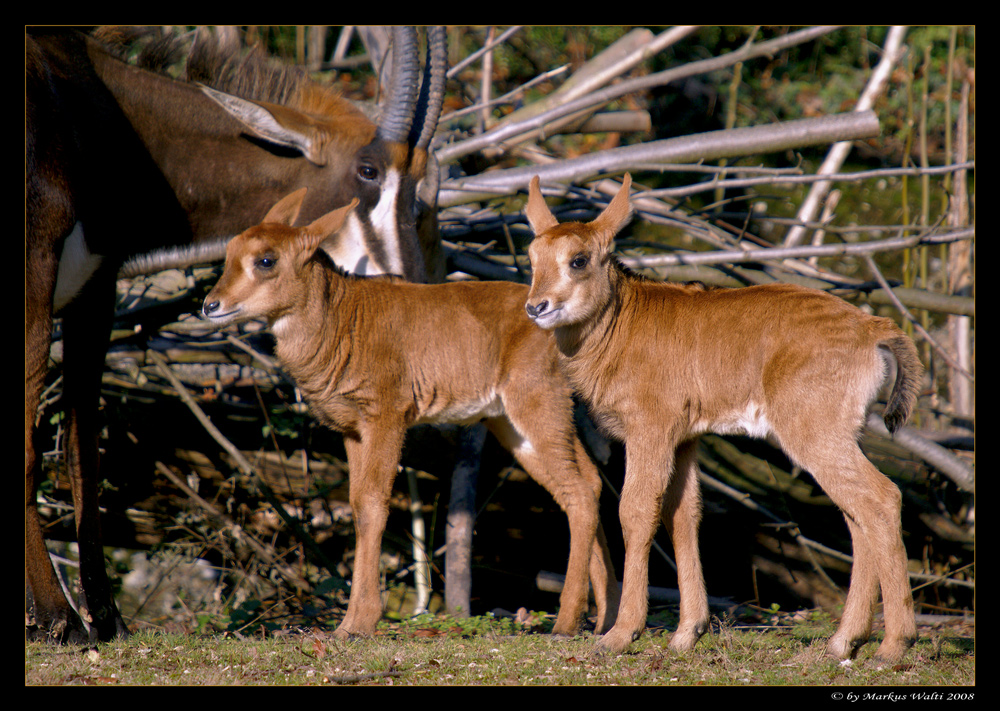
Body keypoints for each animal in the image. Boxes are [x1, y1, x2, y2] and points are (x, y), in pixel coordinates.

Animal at [24, 25, 446, 644]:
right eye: (368, 172)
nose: (410, 296)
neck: (110, 113)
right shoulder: (74, 284)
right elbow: (63, 442)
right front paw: (68, 619)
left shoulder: (91, 289)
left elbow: (80, 445)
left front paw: (102, 618)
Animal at [200, 189, 620, 640]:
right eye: (229, 251)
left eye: (266, 259)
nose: (210, 305)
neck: (339, 322)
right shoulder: (352, 428)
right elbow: (355, 503)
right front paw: (350, 621)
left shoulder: (387, 413)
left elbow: (371, 502)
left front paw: (358, 622)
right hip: (512, 422)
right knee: (587, 481)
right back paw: (605, 617)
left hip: (538, 400)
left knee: (579, 489)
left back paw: (567, 621)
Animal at [524, 172, 920, 660]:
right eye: (532, 258)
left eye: (577, 260)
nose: (536, 306)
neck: (621, 327)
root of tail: (873, 329)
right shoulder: (685, 438)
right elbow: (683, 514)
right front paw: (686, 633)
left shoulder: (650, 429)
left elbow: (635, 510)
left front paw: (621, 633)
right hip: (843, 433)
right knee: (856, 512)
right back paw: (844, 641)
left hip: (813, 432)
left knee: (882, 498)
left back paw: (894, 646)